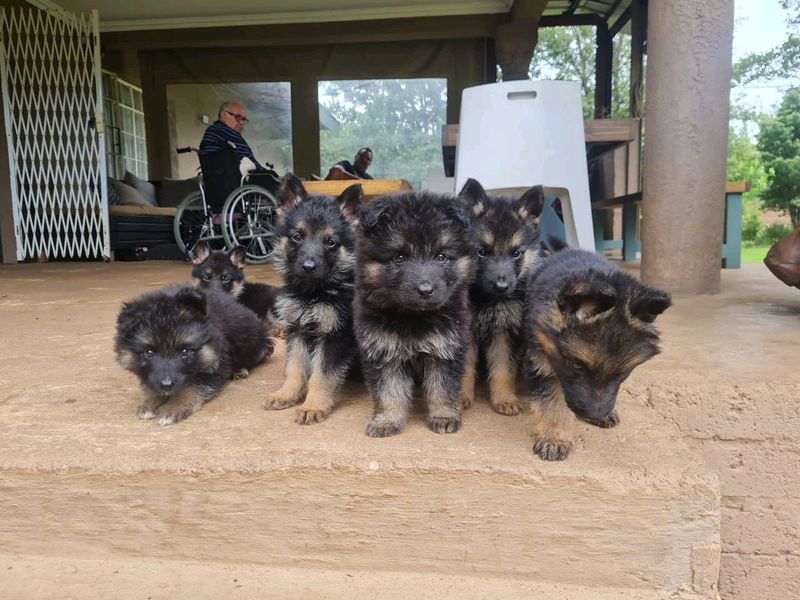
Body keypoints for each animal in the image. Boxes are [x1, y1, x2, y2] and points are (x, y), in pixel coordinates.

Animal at [114, 284, 274, 424]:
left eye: (185, 351)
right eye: (149, 352)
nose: (167, 385)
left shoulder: (217, 365)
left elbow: (191, 387)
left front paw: (173, 407)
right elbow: (153, 384)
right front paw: (151, 401)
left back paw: (240, 370)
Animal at [262, 175, 362, 426]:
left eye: (331, 242)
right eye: (297, 237)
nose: (308, 267)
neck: (313, 294)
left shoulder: (335, 336)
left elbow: (321, 376)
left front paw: (313, 405)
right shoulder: (297, 330)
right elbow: (294, 367)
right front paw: (287, 394)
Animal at [460, 176, 548, 414]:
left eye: (516, 253)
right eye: (481, 251)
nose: (501, 286)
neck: (487, 299)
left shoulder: (505, 332)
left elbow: (503, 368)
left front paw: (504, 398)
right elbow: (464, 367)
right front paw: (460, 396)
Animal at [520, 246, 672, 462]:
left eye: (622, 373)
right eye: (577, 365)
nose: (594, 415)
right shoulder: (541, 358)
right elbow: (552, 401)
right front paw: (555, 438)